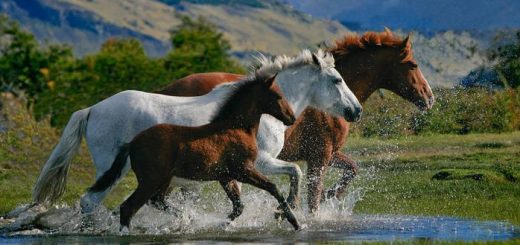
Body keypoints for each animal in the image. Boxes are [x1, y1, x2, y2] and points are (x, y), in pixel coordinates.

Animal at [32, 48, 362, 212]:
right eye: (336, 80)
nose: (355, 111)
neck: (257, 111)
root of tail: (93, 109)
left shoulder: (234, 169)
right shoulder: (260, 161)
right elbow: (296, 171)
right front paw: (286, 210)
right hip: (113, 169)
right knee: (91, 201)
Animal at [90, 73, 300, 231]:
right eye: (278, 95)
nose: (292, 118)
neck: (235, 128)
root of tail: (132, 142)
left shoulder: (225, 176)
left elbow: (238, 207)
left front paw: (220, 224)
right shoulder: (244, 169)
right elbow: (273, 188)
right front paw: (294, 221)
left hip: (162, 181)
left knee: (155, 201)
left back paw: (185, 218)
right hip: (151, 181)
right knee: (128, 207)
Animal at [154, 28, 434, 212]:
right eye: (413, 64)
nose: (429, 98)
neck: (324, 103)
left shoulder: (328, 154)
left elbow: (351, 170)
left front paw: (332, 195)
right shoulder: (320, 157)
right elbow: (313, 198)